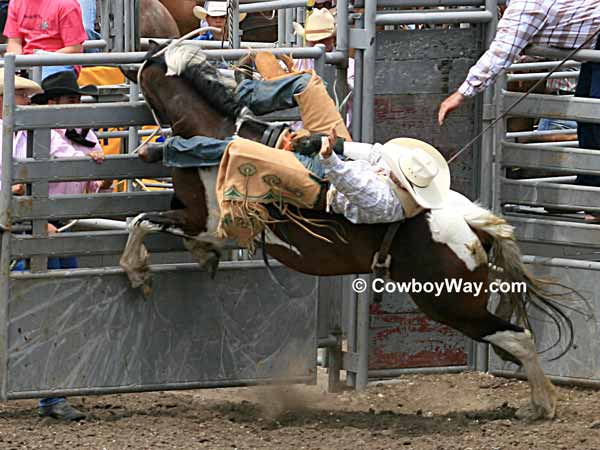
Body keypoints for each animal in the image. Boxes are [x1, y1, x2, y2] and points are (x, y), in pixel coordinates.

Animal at [118, 42, 580, 422]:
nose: (144, 141)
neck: (213, 133)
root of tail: (469, 220)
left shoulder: (211, 221)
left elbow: (141, 222)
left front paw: (138, 271)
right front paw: (201, 257)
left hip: (448, 302)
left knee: (518, 337)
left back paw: (542, 405)